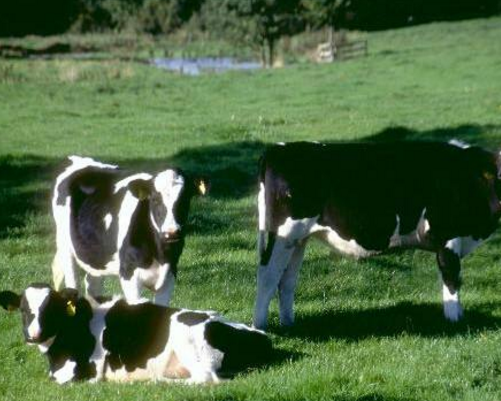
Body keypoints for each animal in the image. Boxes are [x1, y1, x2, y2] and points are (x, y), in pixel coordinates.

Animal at [0, 282, 272, 382]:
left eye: (51, 309)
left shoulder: (86, 370)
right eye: (23, 310)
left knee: (205, 379)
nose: (33, 334)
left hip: (189, 342)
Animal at [51, 155, 206, 304]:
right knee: (73, 284)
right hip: (65, 247)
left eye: (185, 199)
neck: (161, 253)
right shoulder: (129, 273)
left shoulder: (170, 274)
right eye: (155, 199)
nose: (171, 232)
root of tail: (74, 158)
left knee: (92, 285)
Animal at [254, 141, 500, 328]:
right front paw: (455, 321)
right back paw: (261, 328)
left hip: (298, 240)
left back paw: (288, 324)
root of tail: (277, 149)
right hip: (283, 235)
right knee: (267, 277)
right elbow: (451, 280)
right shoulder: (448, 237)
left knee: (286, 280)